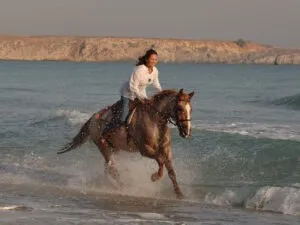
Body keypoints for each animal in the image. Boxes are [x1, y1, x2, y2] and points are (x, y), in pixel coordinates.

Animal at [58, 89, 195, 198]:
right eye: (179, 108)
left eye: (190, 109)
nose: (186, 132)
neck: (154, 122)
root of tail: (92, 119)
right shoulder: (145, 150)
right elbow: (160, 161)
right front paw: (154, 177)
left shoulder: (166, 151)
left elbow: (171, 172)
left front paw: (179, 194)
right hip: (103, 146)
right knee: (112, 168)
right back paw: (122, 186)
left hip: (113, 148)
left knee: (108, 167)